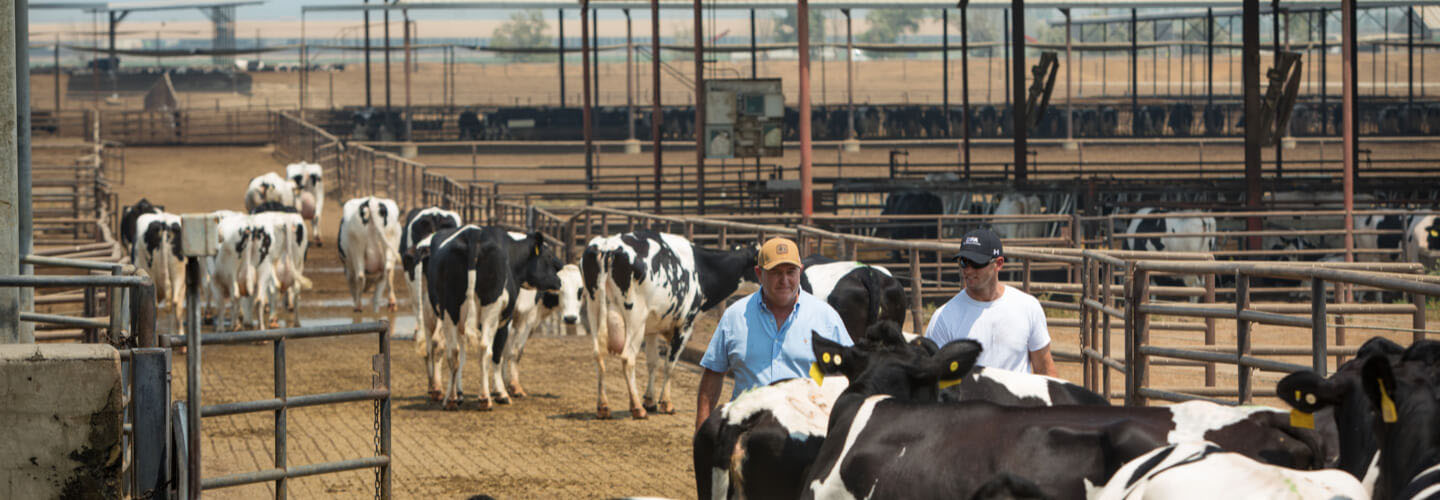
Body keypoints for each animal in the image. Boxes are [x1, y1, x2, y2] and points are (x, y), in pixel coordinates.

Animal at [420, 227, 561, 412]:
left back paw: (448, 398)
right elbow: (498, 355)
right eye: (548, 255)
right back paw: (485, 399)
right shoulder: (505, 321)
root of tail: (473, 234)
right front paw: (501, 393)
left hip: (447, 308)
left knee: (448, 350)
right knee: (485, 349)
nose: (559, 279)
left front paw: (458, 394)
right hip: (490, 309)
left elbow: (462, 356)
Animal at [584, 230, 766, 417]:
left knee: (598, 354)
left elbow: (653, 362)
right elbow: (669, 364)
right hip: (635, 318)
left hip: (594, 308)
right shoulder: (684, 325)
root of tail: (608, 246)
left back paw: (603, 406)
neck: (701, 269)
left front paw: (650, 400)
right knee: (628, 358)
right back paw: (637, 408)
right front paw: (666, 403)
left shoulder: (652, 327)